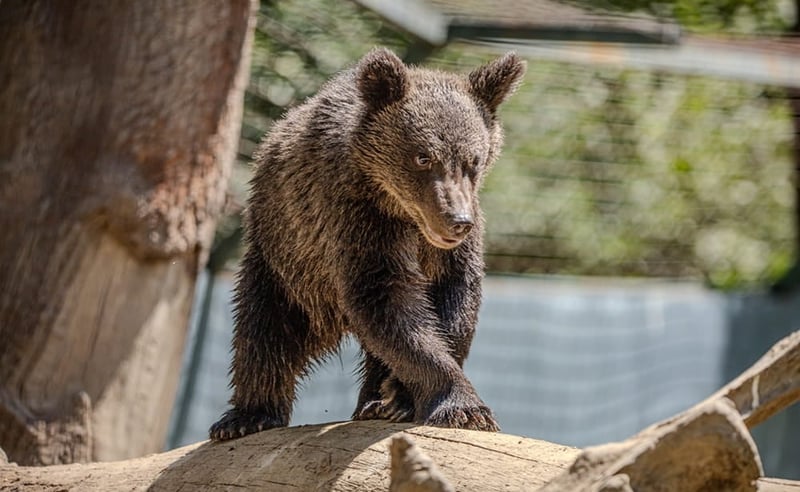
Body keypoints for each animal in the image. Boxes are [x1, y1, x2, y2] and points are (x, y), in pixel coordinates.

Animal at [209, 48, 526, 440]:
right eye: (423, 157)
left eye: (474, 160)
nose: (457, 221)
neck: (401, 210)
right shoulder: (356, 220)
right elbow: (385, 301)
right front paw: (464, 407)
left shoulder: (448, 251)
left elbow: (451, 305)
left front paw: (402, 398)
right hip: (285, 259)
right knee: (263, 329)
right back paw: (246, 416)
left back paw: (374, 400)